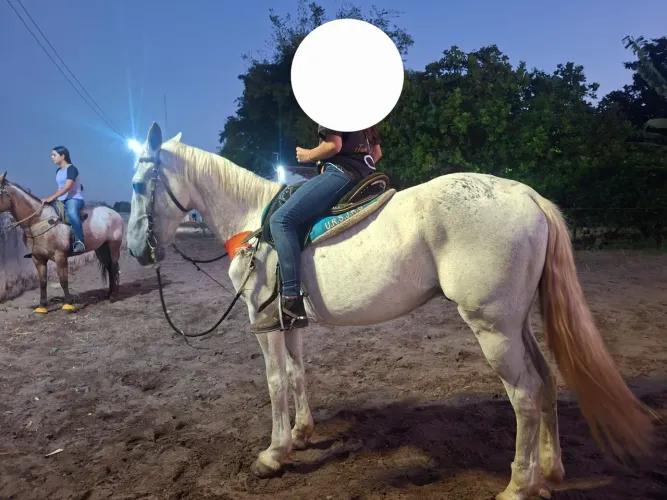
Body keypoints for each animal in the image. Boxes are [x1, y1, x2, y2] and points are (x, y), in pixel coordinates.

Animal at [0, 172, 125, 312]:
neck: (39, 221)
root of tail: (115, 214)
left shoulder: (60, 256)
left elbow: (63, 280)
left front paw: (68, 304)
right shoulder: (38, 258)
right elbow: (42, 282)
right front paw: (42, 306)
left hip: (114, 245)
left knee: (113, 267)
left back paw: (113, 296)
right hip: (101, 248)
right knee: (109, 267)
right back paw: (108, 294)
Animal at [125, 122, 653, 500]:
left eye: (135, 184)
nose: (135, 250)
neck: (253, 219)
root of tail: (526, 194)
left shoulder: (262, 323)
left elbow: (275, 383)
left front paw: (274, 454)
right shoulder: (289, 320)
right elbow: (297, 373)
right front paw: (302, 434)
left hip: (493, 328)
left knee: (523, 393)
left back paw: (519, 486)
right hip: (515, 322)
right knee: (545, 381)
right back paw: (549, 470)